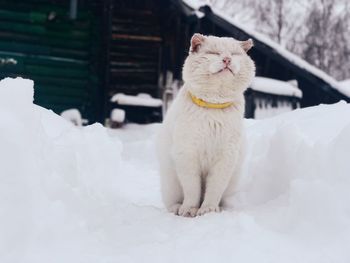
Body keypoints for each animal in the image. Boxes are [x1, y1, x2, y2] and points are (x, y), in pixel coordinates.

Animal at [156, 34, 254, 218]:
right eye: (214, 53)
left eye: (234, 54)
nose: (227, 59)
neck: (213, 108)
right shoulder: (187, 154)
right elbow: (192, 189)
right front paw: (189, 210)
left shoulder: (226, 157)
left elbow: (214, 190)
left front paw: (208, 210)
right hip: (170, 182)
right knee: (173, 201)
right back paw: (177, 208)